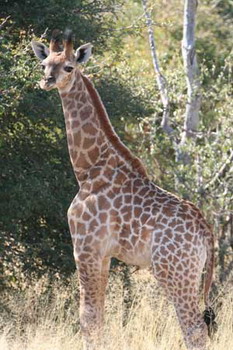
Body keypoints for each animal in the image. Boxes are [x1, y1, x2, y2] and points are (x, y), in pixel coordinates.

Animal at [31, 31, 217, 348]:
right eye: (44, 64)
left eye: (68, 66)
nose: (47, 81)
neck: (88, 169)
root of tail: (207, 233)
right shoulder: (104, 255)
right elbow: (99, 317)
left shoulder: (85, 247)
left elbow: (88, 319)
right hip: (190, 275)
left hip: (173, 272)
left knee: (194, 328)